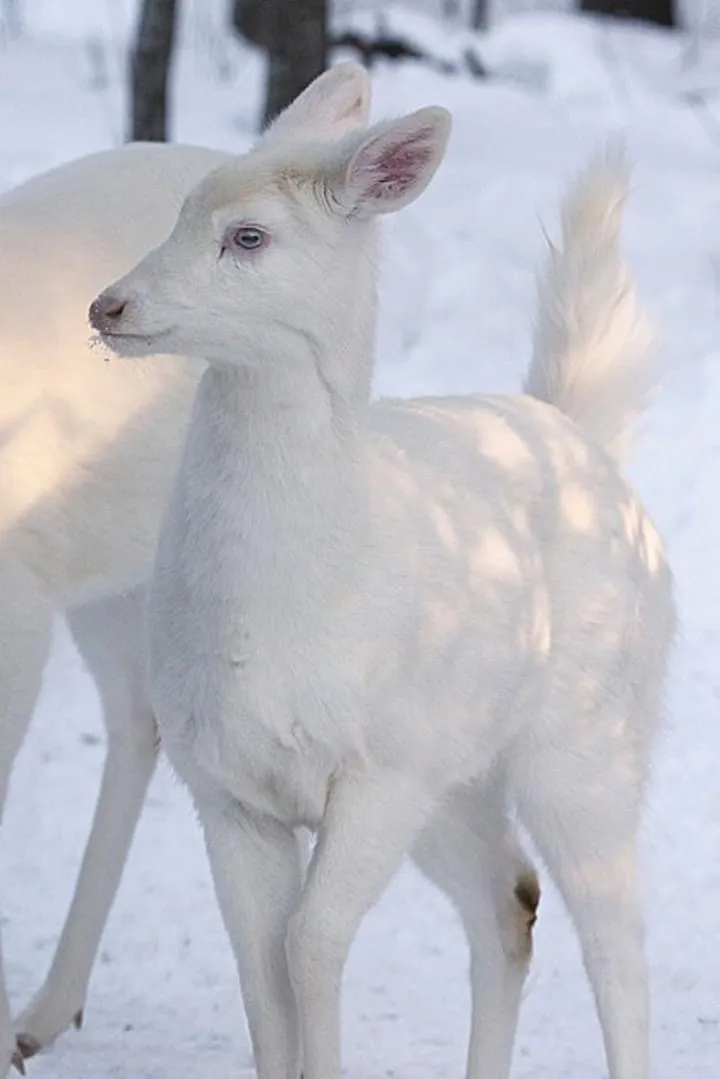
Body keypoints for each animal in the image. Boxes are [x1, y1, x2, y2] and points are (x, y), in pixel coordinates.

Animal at [0, 63, 371, 1074]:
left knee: (140, 719)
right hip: (104, 567)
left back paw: (43, 1010)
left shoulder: (16, 597)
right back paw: (48, 1007)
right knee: (138, 715)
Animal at [91, 88, 677, 1079]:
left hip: (587, 743)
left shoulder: (382, 765)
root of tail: (576, 430)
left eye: (248, 235)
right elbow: (261, 971)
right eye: (180, 210)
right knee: (510, 898)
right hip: (458, 776)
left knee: (618, 945)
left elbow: (311, 944)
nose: (108, 305)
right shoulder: (224, 784)